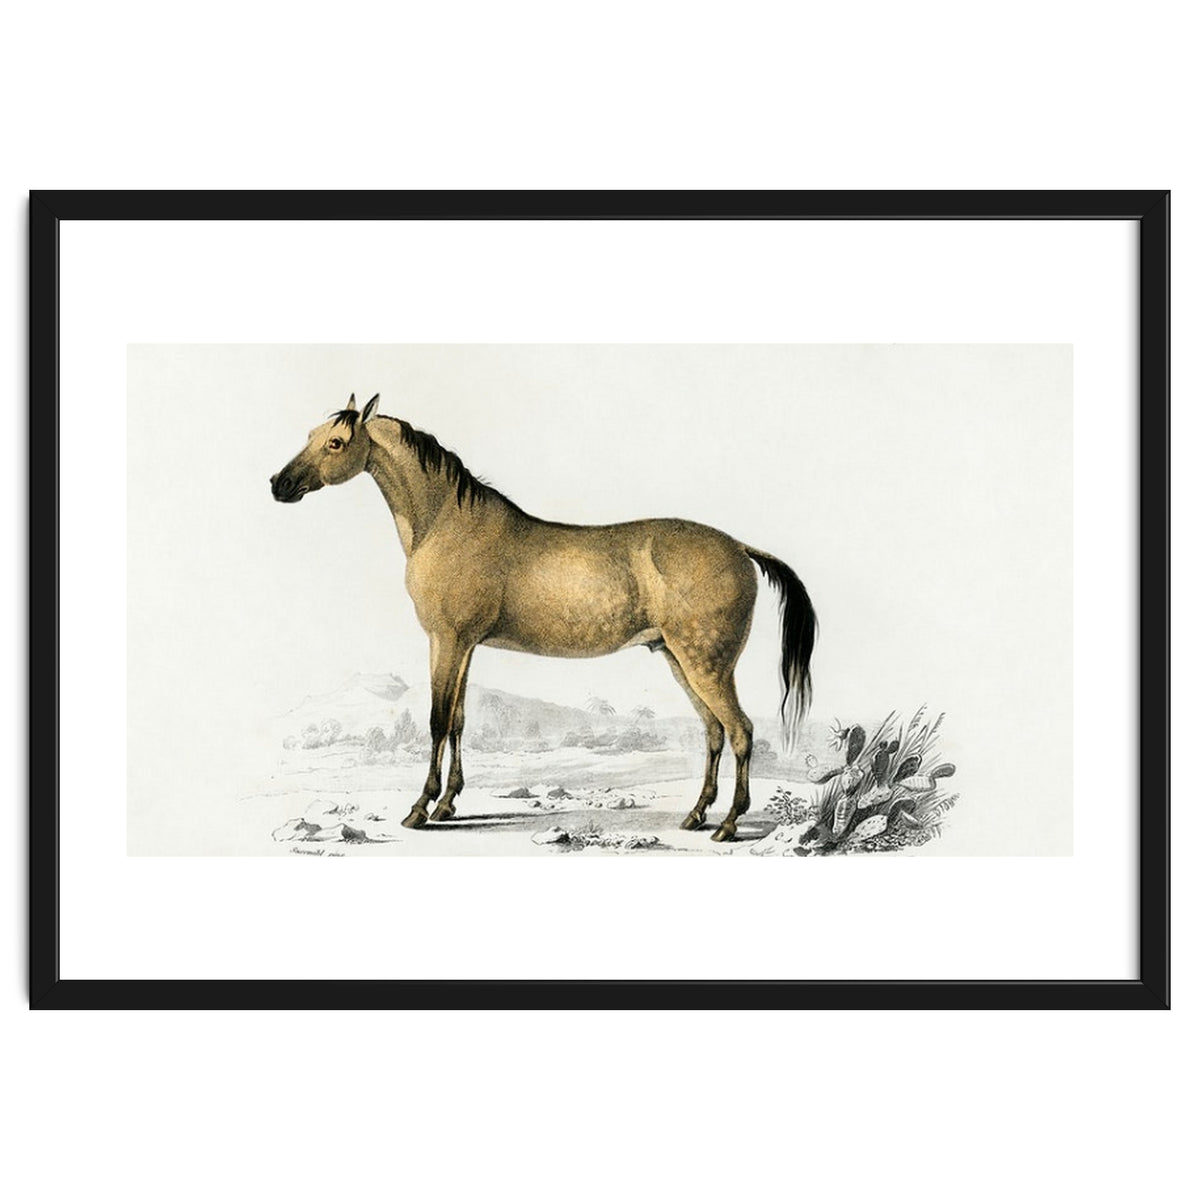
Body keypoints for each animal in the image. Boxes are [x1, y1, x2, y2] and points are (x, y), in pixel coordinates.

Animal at [271, 394, 817, 842]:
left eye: (336, 442)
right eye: (311, 435)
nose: (279, 484)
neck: (447, 523)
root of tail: (740, 547)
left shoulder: (446, 640)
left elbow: (436, 721)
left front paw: (420, 809)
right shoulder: (463, 646)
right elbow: (459, 721)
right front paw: (448, 804)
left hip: (706, 664)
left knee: (741, 730)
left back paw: (728, 824)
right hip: (680, 660)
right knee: (714, 732)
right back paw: (697, 815)